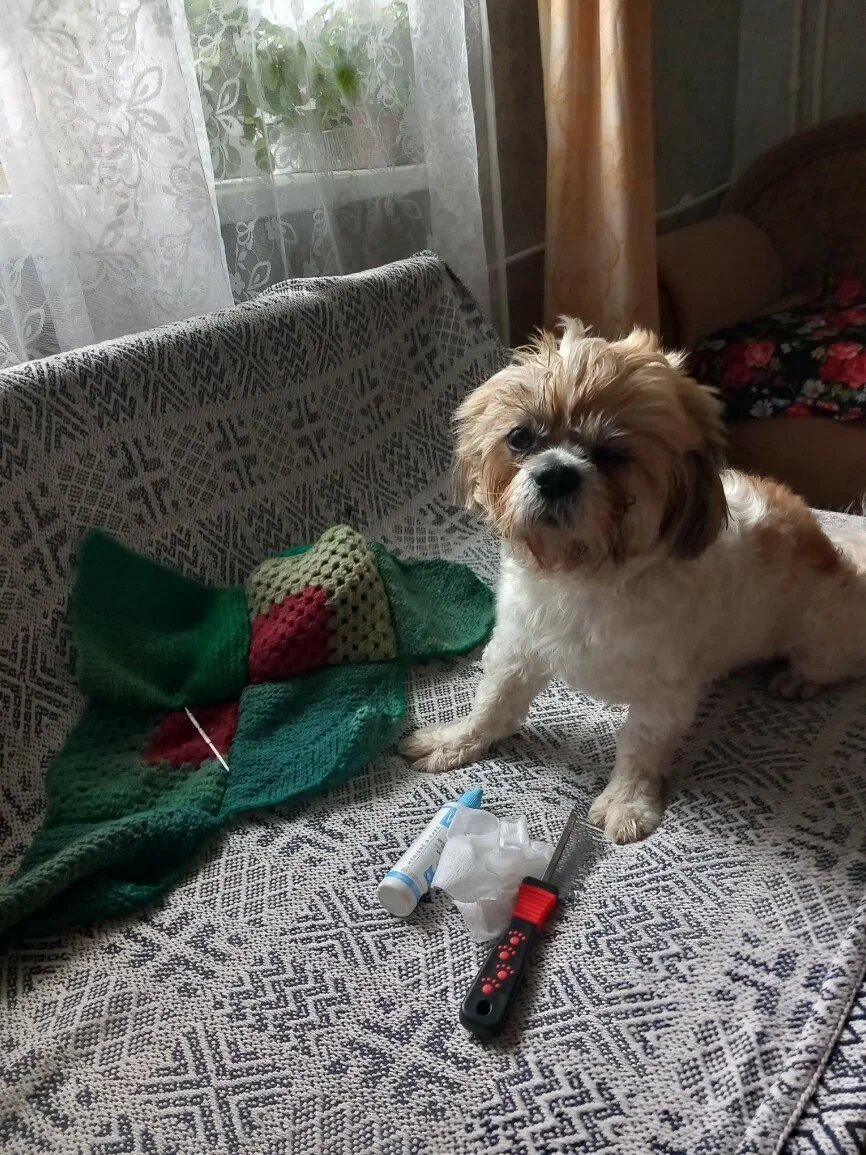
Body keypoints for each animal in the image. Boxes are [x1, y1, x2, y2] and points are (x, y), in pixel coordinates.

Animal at [401, 320, 866, 844]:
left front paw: (627, 802)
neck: (588, 575)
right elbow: (492, 703)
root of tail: (841, 556)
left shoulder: (660, 695)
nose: (556, 474)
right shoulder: (518, 647)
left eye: (614, 453)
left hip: (822, 637)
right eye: (520, 437)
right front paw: (455, 741)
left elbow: (638, 749)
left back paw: (797, 680)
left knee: (833, 664)